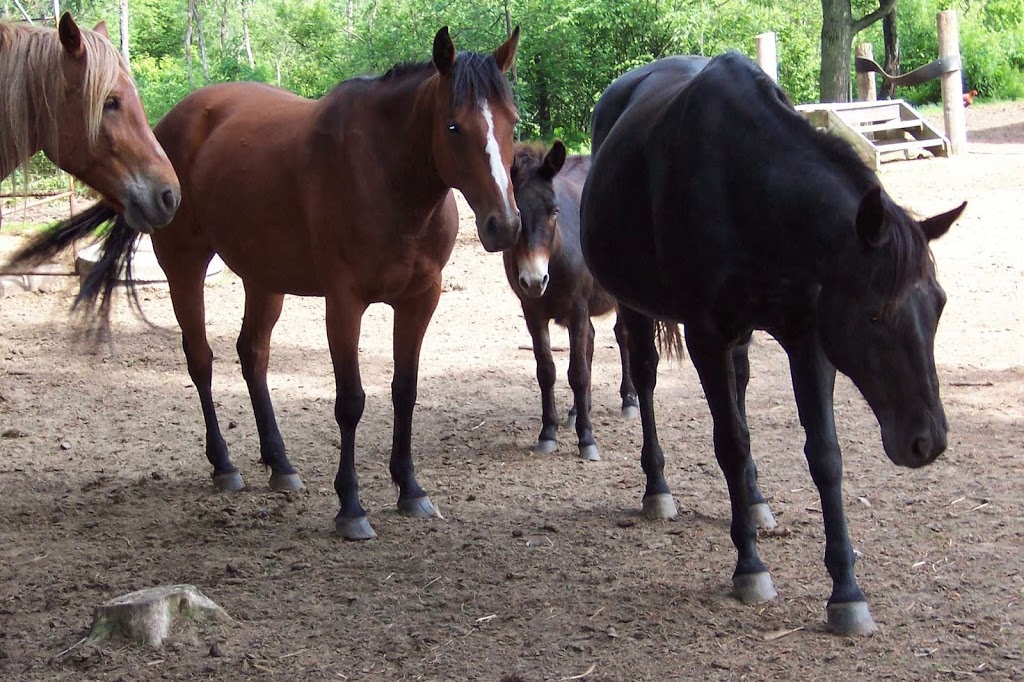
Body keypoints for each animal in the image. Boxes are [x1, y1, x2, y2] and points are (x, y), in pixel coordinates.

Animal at [14, 26, 528, 540]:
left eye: (512, 122)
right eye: (454, 127)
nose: (503, 224)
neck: (386, 175)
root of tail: (166, 129)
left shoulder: (420, 300)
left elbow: (405, 390)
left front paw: (411, 489)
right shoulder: (344, 303)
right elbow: (350, 401)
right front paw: (351, 507)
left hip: (264, 279)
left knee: (253, 355)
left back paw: (280, 464)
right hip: (185, 267)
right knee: (201, 360)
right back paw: (224, 466)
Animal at [505, 142, 638, 462]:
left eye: (554, 210)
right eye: (517, 211)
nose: (535, 280)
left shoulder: (577, 310)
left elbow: (577, 373)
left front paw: (586, 439)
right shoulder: (533, 314)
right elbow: (547, 371)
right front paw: (548, 433)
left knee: (623, 336)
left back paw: (629, 399)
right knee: (591, 343)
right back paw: (578, 410)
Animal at [581, 51, 962, 630]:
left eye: (938, 305)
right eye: (875, 314)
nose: (928, 441)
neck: (745, 184)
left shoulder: (808, 337)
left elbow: (824, 453)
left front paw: (846, 592)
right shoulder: (707, 337)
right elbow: (731, 445)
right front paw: (750, 567)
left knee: (739, 387)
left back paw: (756, 502)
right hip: (639, 306)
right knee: (643, 376)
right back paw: (658, 489)